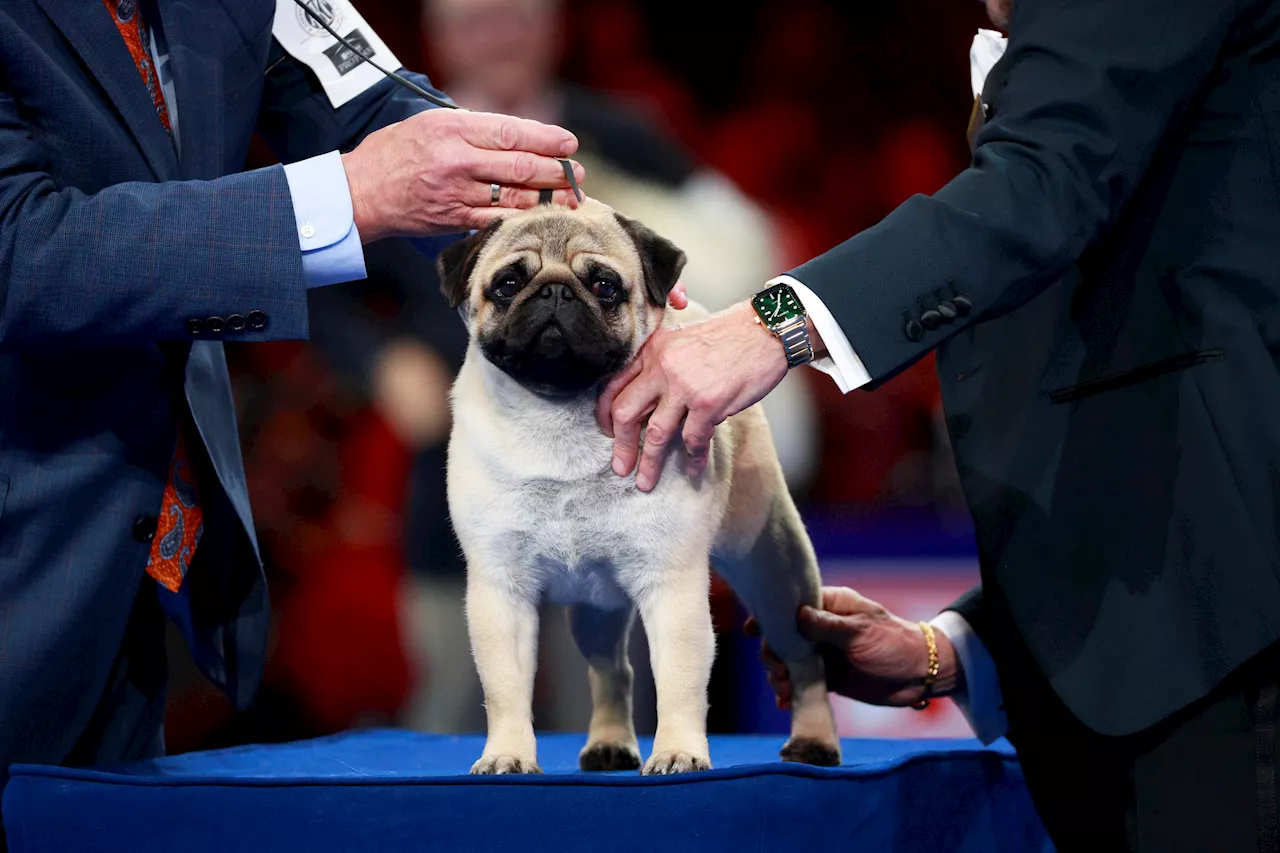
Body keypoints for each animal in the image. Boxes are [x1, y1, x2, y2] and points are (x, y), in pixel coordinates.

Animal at [440, 202, 839, 773]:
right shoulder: (502, 591)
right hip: (597, 611)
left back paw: (814, 741)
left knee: (805, 660)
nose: (554, 291)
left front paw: (677, 752)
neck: (558, 416)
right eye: (509, 283)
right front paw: (507, 755)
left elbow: (679, 681)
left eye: (604, 286)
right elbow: (506, 689)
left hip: (776, 575)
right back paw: (609, 744)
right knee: (613, 672)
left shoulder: (671, 589)